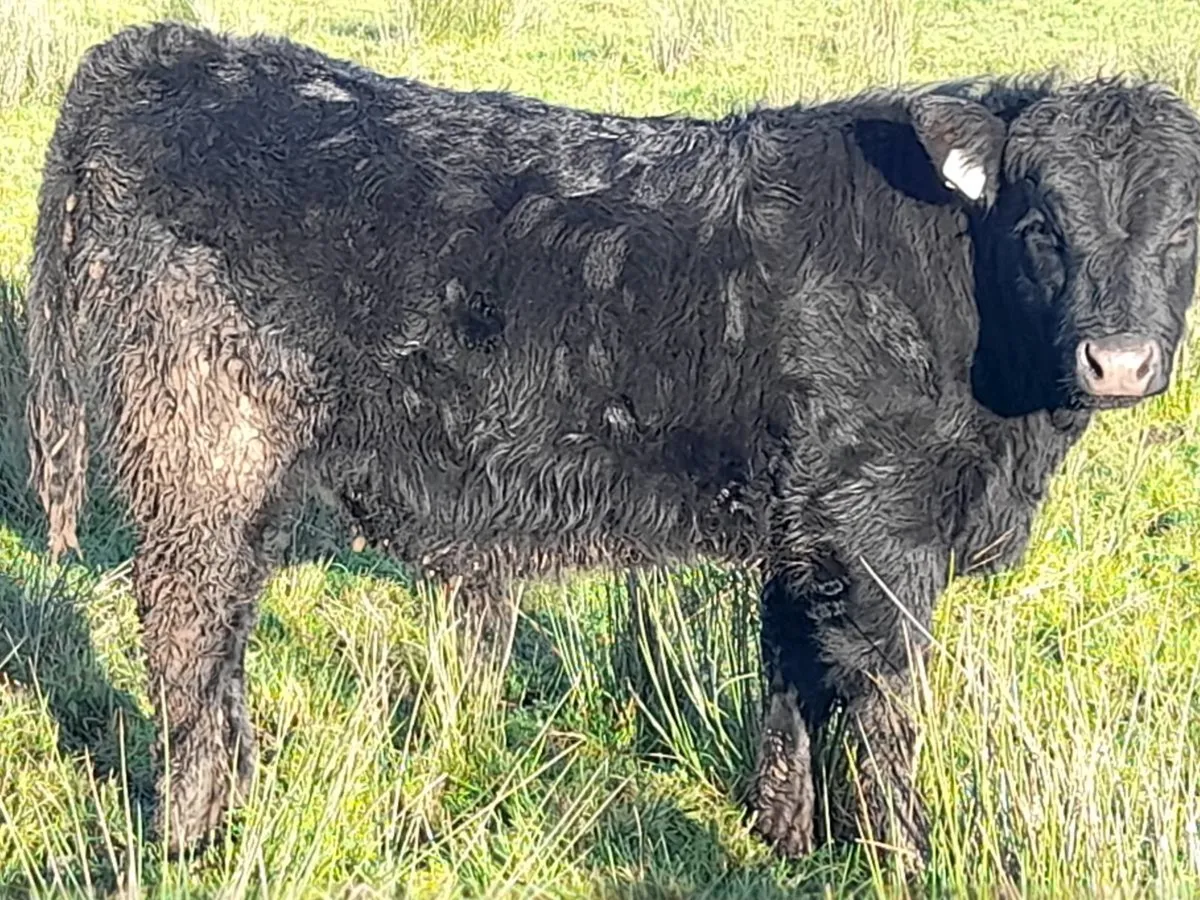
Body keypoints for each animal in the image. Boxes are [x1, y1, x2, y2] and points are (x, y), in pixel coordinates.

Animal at [24, 20, 1200, 863]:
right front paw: (902, 858)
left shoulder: (805, 526)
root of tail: (168, 48)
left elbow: (792, 679)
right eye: (1041, 222)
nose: (1120, 361)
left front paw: (785, 839)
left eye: (1185, 227)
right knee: (191, 629)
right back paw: (195, 837)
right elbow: (884, 713)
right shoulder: (882, 531)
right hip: (205, 447)